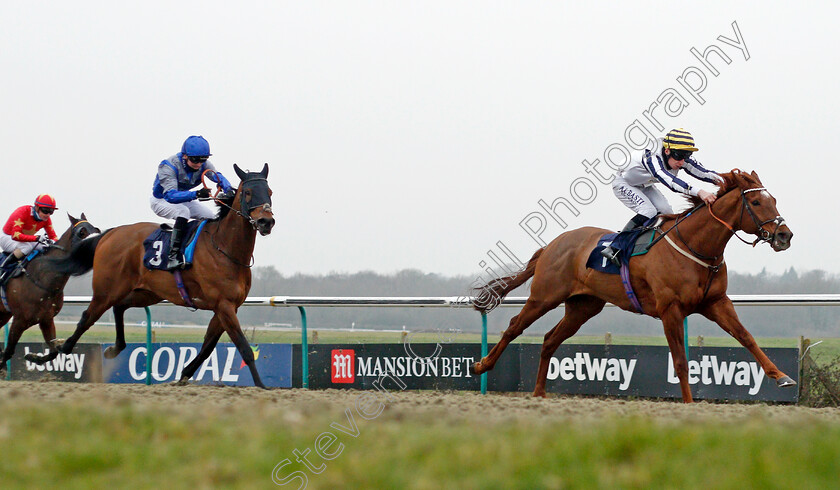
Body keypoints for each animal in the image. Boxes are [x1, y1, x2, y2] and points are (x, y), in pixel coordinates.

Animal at [0, 214, 100, 372]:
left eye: (97, 230)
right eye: (82, 232)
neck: (42, 279)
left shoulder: (46, 319)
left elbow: (53, 352)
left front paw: (33, 357)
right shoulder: (19, 320)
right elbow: (9, 351)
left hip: (3, 314)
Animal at [32, 165, 276, 386]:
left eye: (270, 192)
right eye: (248, 192)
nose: (266, 221)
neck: (225, 248)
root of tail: (110, 233)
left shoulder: (227, 307)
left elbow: (208, 346)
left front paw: (183, 374)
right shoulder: (223, 305)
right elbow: (243, 347)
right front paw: (261, 386)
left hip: (146, 293)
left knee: (119, 307)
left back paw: (112, 348)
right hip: (106, 290)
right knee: (87, 318)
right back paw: (54, 351)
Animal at [472, 168, 796, 402]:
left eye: (774, 200)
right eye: (756, 202)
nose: (785, 235)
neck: (696, 246)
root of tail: (552, 244)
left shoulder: (716, 302)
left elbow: (746, 337)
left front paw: (781, 376)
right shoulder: (670, 309)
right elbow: (680, 361)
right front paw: (689, 404)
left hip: (583, 306)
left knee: (550, 339)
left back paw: (539, 394)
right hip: (544, 296)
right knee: (514, 326)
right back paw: (482, 365)